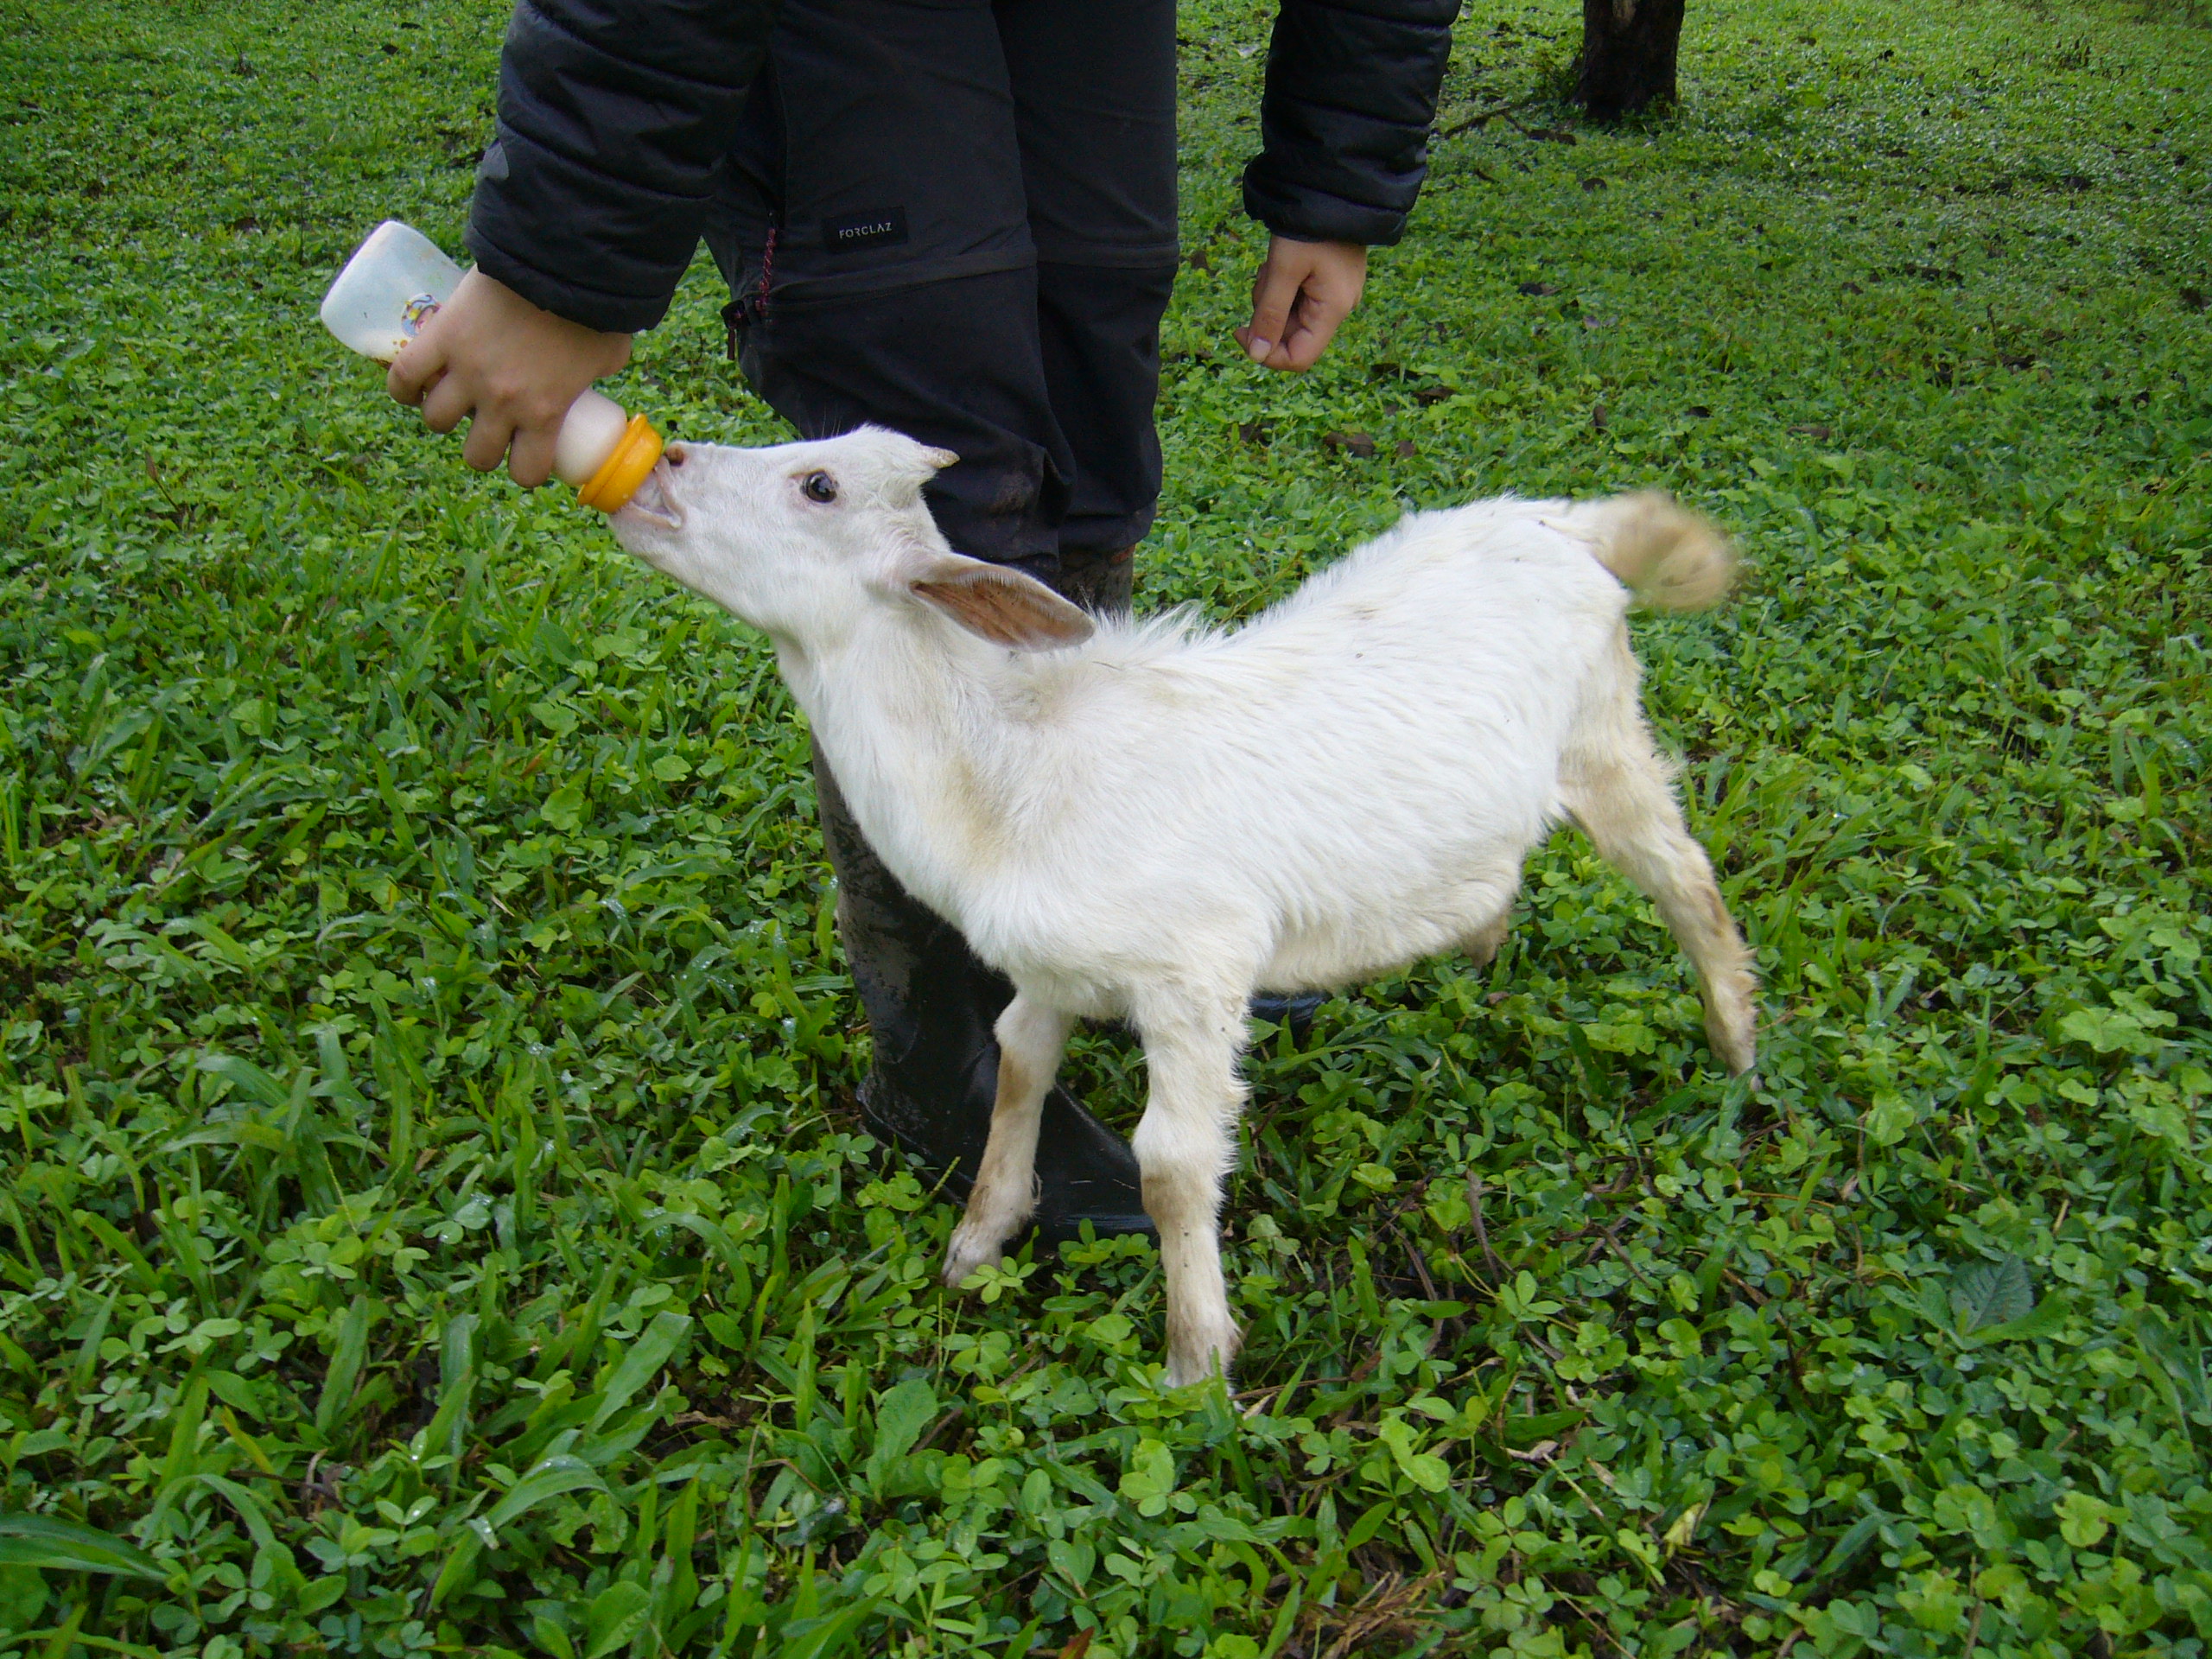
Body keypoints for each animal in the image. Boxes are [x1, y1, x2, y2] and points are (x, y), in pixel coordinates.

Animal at [613, 426, 1757, 1387]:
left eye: (817, 485)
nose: (661, 458)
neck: (1007, 776)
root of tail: (1560, 520)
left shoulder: (1194, 974)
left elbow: (1170, 1165)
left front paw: (1195, 1360)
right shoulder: (1048, 965)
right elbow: (1017, 1070)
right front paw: (979, 1242)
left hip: (1603, 733)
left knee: (1683, 877)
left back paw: (1735, 1040)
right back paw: (1478, 940)